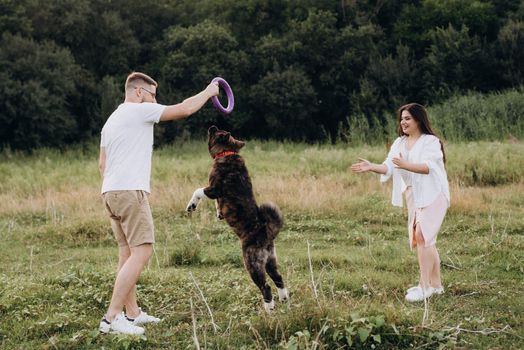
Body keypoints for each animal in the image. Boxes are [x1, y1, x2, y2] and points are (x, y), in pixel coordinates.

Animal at [186, 125, 288, 312]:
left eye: (217, 132)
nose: (212, 126)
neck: (227, 153)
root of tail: (266, 233)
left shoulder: (213, 189)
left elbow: (198, 191)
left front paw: (192, 205)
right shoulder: (216, 194)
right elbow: (217, 204)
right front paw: (218, 213)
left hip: (252, 264)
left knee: (266, 287)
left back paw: (268, 309)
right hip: (270, 261)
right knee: (278, 278)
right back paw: (284, 298)